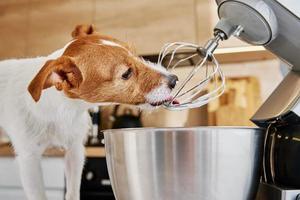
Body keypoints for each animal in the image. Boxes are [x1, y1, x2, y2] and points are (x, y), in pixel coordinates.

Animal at [0, 25, 178, 200]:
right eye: (127, 73)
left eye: (136, 55)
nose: (174, 80)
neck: (65, 109)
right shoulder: (29, 160)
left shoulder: (75, 151)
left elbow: (72, 192)